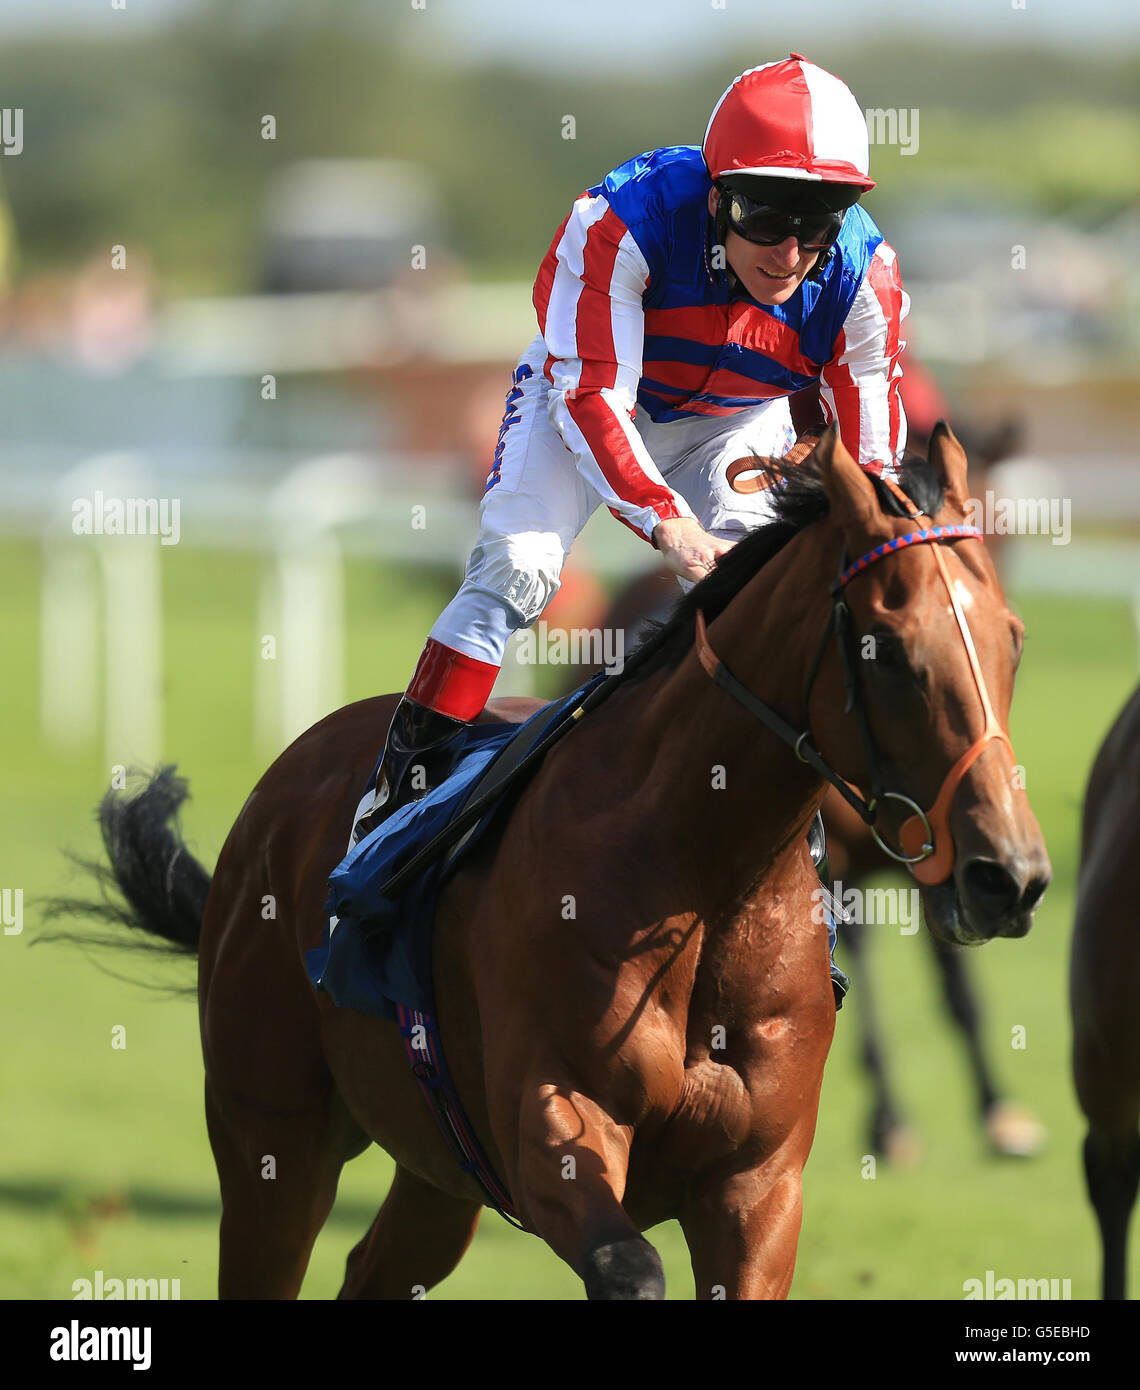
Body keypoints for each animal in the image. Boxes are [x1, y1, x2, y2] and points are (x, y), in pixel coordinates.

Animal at [53, 419, 1051, 1289]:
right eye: (888, 649)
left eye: (1013, 637)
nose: (1011, 876)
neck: (703, 879)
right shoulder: (553, 1136)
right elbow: (631, 1268)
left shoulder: (757, 1188)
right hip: (272, 1134)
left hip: (437, 1166)